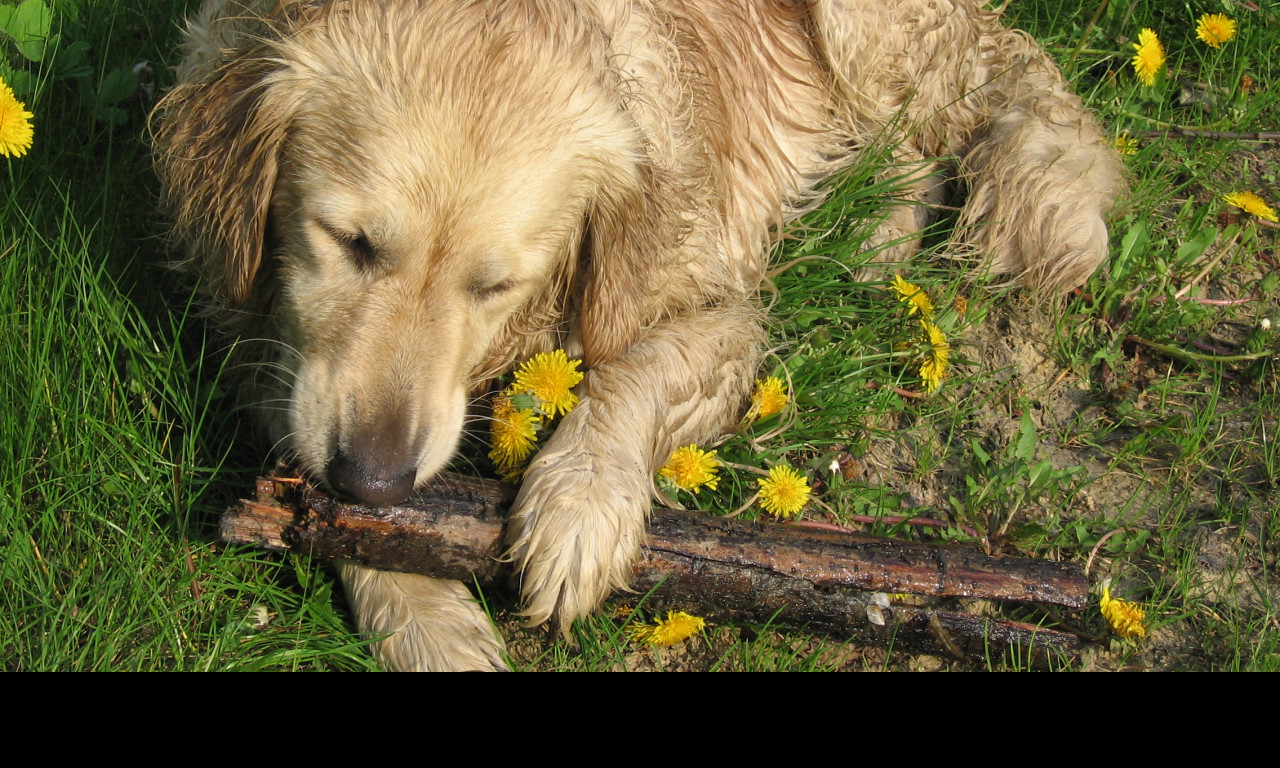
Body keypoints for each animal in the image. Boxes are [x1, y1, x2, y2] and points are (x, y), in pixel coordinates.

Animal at [154, 0, 1126, 670]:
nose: (375, 477)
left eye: (494, 285)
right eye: (349, 242)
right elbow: (323, 501)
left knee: (977, 100)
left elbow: (639, 368)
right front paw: (430, 621)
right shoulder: (256, 328)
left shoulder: (718, 310)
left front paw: (581, 503)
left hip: (873, 41)